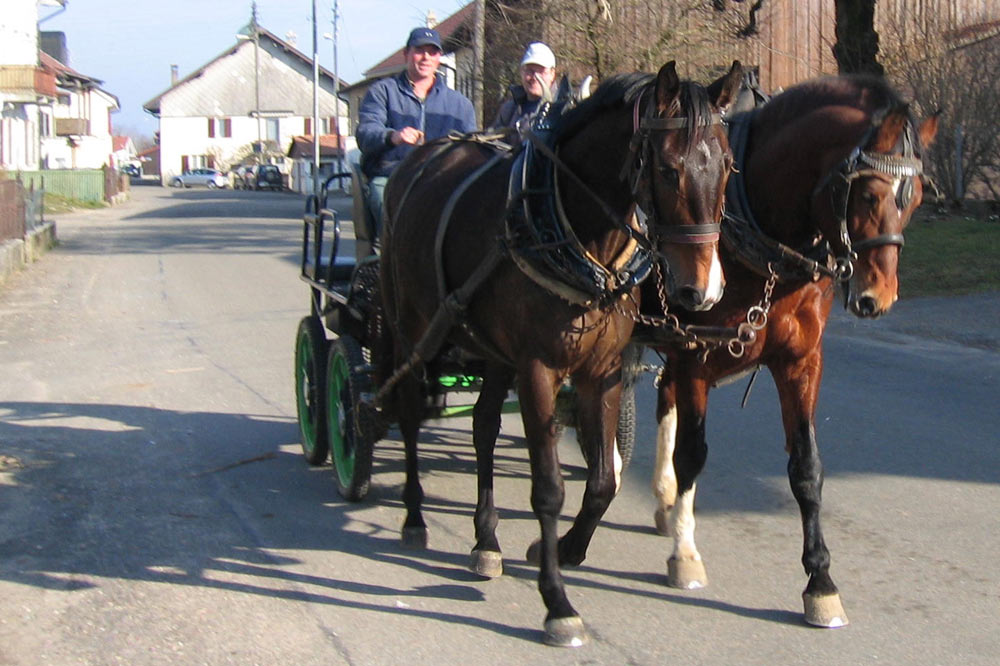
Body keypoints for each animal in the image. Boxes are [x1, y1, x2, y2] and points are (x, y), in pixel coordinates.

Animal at [376, 61, 744, 644]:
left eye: (729, 165)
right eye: (667, 169)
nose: (702, 291)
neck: (576, 234)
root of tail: (421, 159)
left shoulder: (601, 371)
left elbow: (603, 481)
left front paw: (568, 549)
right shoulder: (538, 370)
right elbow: (548, 489)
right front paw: (557, 601)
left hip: (492, 350)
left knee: (483, 426)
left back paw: (485, 540)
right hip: (412, 326)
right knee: (409, 412)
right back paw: (414, 516)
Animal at [640, 75, 936, 624]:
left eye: (917, 197)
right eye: (868, 194)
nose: (877, 298)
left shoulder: (800, 362)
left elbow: (807, 468)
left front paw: (820, 580)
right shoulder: (695, 353)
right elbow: (694, 453)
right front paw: (685, 555)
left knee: (663, 393)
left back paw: (665, 499)